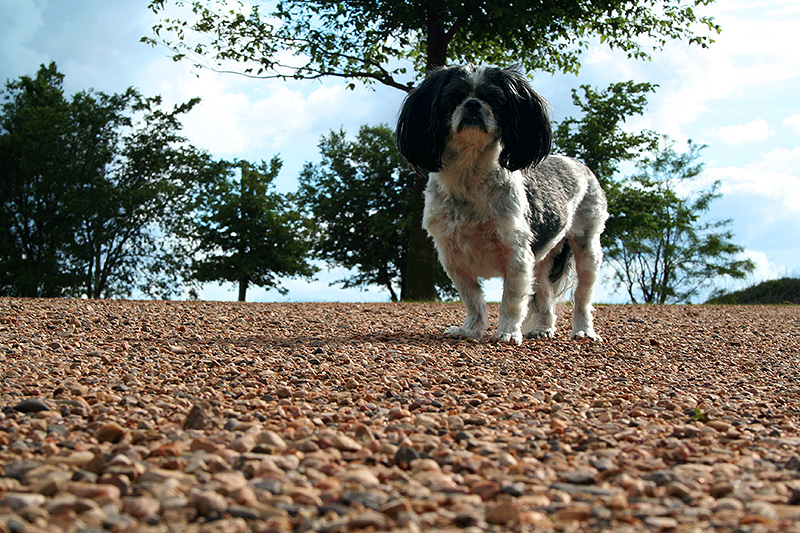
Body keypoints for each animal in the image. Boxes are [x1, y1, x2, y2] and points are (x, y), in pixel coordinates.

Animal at [396, 64, 608, 342]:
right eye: (453, 97)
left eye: (494, 99)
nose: (473, 104)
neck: (468, 177)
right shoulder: (453, 257)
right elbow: (473, 298)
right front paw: (470, 329)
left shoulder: (516, 254)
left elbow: (511, 299)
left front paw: (507, 332)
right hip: (542, 263)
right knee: (545, 296)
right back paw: (543, 328)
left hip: (586, 248)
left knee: (582, 297)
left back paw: (583, 330)